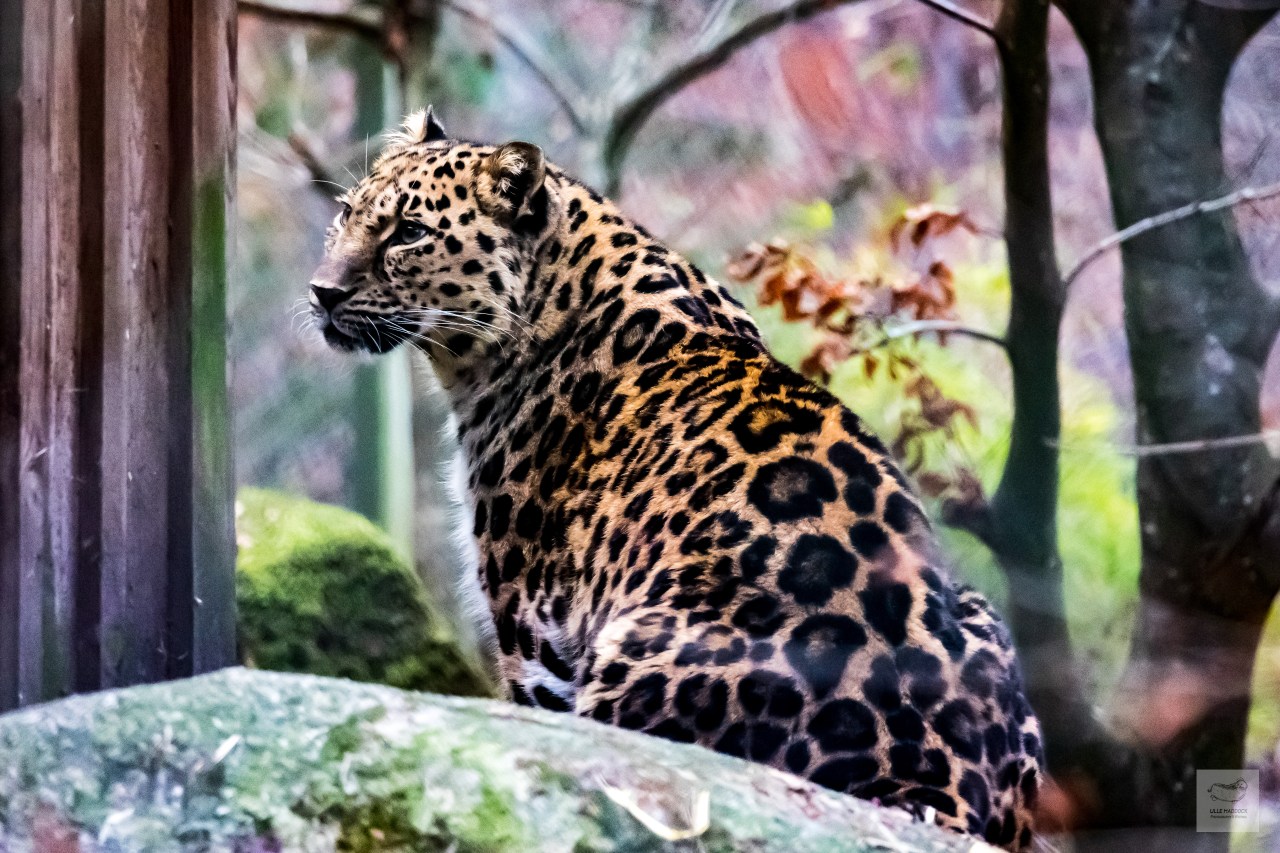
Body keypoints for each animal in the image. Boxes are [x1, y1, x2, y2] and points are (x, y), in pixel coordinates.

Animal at [308, 108, 1044, 850]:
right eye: (345, 213)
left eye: (409, 232)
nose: (322, 291)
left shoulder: (534, 638)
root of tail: (927, 786)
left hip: (637, 644)